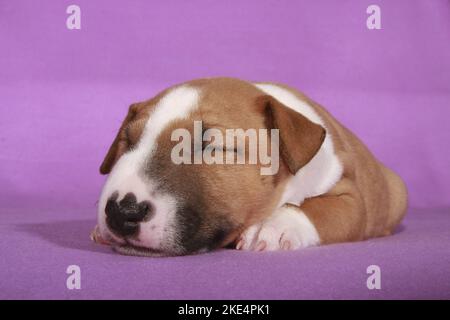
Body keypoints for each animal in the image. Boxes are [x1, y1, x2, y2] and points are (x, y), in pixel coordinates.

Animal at [91, 78, 408, 258]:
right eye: (128, 141)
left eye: (214, 147)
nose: (121, 212)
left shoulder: (350, 198)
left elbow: (318, 208)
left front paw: (273, 227)